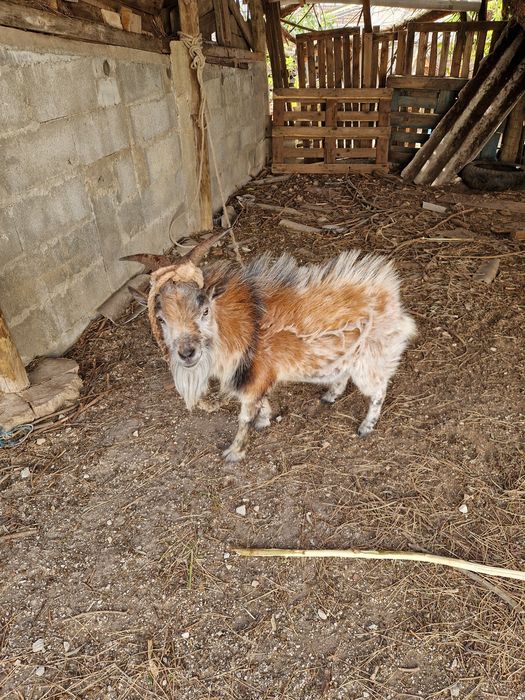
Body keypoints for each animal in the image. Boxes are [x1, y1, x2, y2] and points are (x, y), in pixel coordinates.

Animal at [124, 234, 416, 462]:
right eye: (161, 319)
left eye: (204, 310)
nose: (187, 353)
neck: (240, 325)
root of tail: (391, 296)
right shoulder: (257, 376)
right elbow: (260, 402)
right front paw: (264, 420)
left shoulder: (253, 377)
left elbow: (244, 417)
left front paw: (234, 453)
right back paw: (331, 395)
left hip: (372, 357)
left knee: (378, 389)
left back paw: (366, 426)